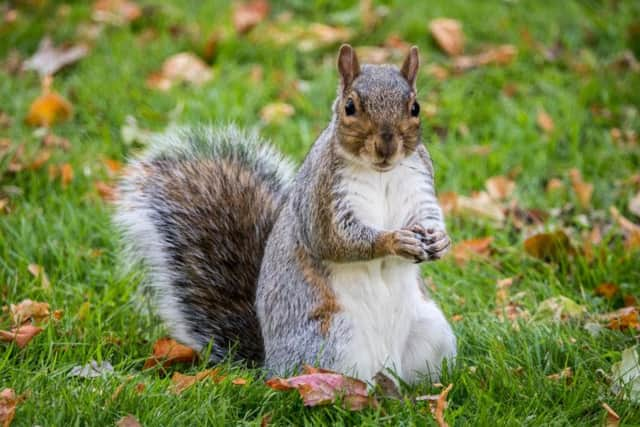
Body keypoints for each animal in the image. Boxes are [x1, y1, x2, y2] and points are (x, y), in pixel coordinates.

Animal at [115, 43, 456, 384]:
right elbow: (332, 239)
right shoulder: (322, 196)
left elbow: (427, 214)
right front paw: (395, 240)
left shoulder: (419, 183)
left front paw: (440, 241)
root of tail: (270, 366)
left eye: (415, 107)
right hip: (333, 339)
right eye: (350, 107)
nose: (386, 147)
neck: (380, 173)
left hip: (431, 331)